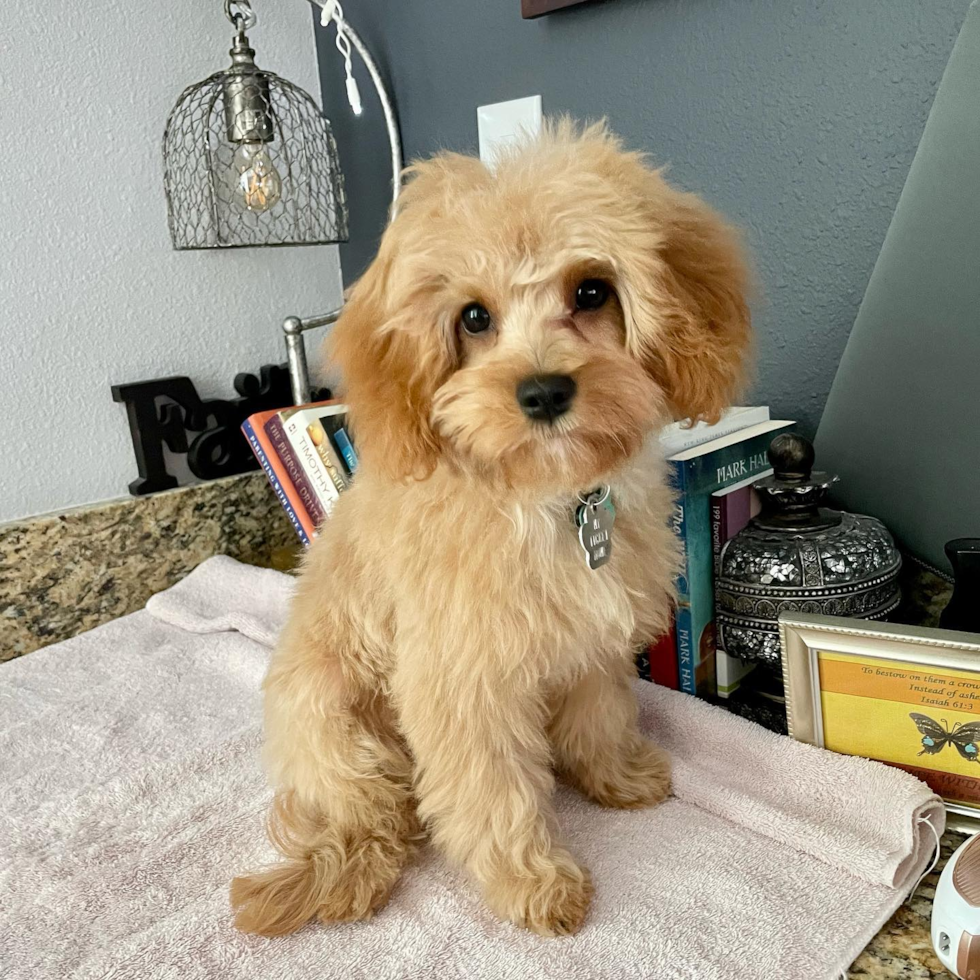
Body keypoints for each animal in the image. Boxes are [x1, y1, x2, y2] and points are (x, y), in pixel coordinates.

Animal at [232, 122, 752, 940]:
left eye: (592, 291)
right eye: (473, 317)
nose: (543, 391)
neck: (547, 500)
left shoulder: (590, 648)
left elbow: (600, 718)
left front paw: (617, 777)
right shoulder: (461, 681)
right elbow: (493, 791)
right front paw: (533, 882)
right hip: (336, 720)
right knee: (379, 811)